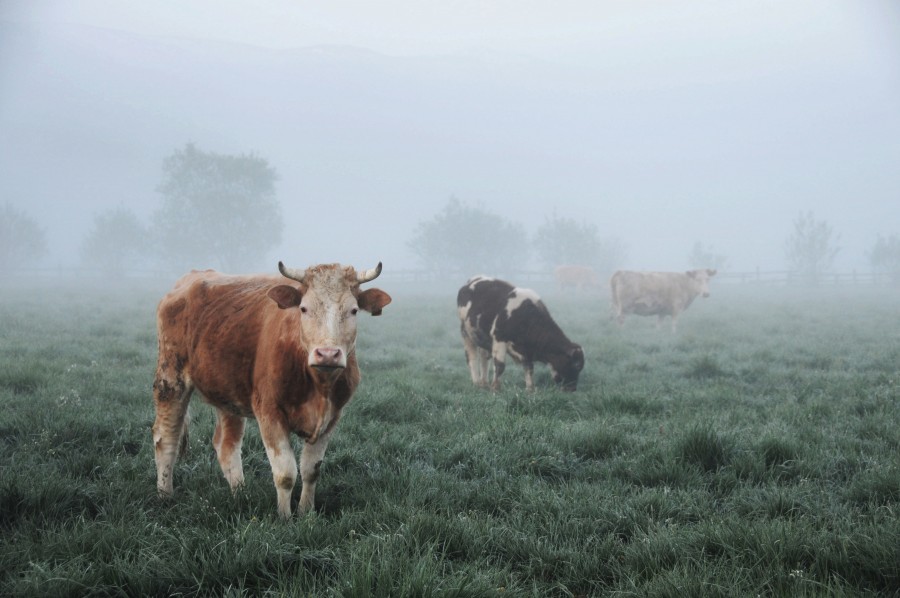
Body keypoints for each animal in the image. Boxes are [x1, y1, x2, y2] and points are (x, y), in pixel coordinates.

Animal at [152, 261, 391, 518]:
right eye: (304, 309)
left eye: (353, 310)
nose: (327, 354)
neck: (318, 386)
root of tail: (192, 277)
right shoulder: (269, 412)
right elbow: (286, 473)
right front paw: (284, 517)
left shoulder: (333, 417)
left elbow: (311, 470)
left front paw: (306, 513)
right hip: (170, 378)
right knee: (166, 438)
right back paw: (165, 496)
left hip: (228, 392)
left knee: (226, 445)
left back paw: (241, 495)